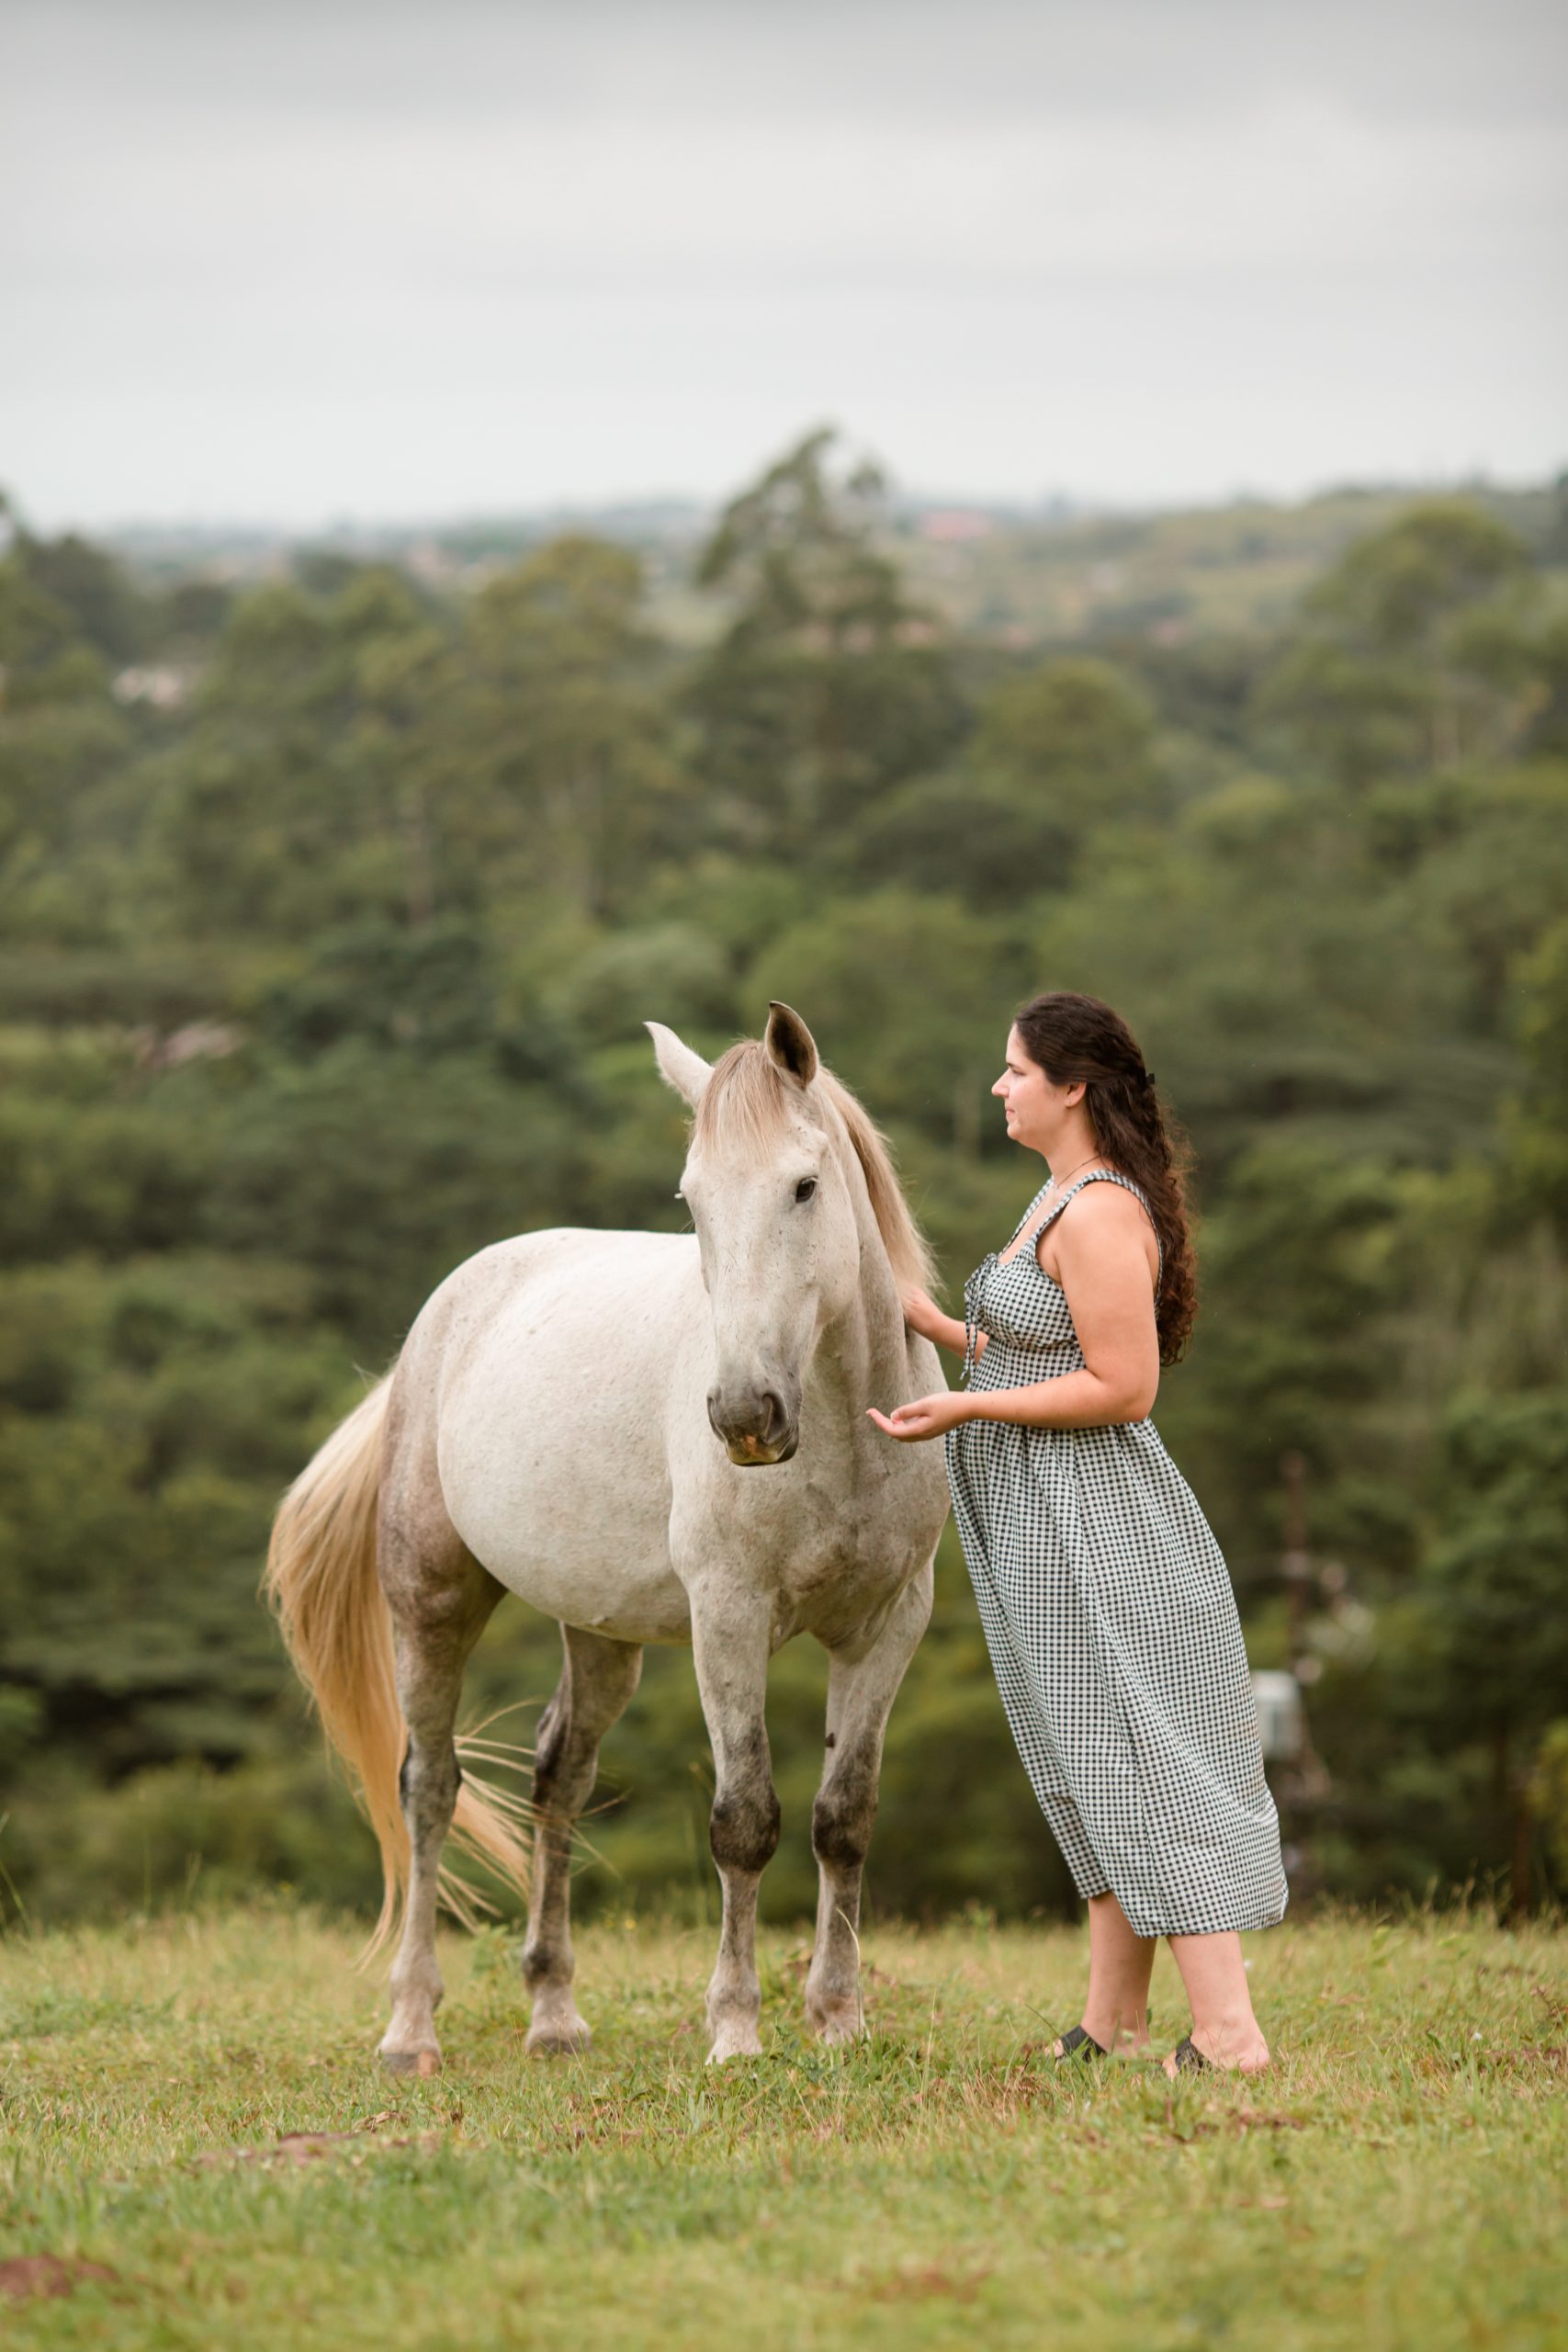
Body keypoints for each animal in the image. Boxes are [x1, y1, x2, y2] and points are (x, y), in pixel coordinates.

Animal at [265, 1001, 950, 2067]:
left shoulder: (887, 1624)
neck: (846, 1432)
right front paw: (735, 2032)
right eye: (692, 1202)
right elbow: (744, 1820)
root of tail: (443, 1315)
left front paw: (838, 2022)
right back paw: (411, 2028)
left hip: (598, 1635)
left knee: (559, 1778)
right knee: (429, 1787)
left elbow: (844, 1820)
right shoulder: (728, 1618)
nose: (744, 1413)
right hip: (431, 1604)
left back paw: (554, 2013)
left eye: (804, 1186)